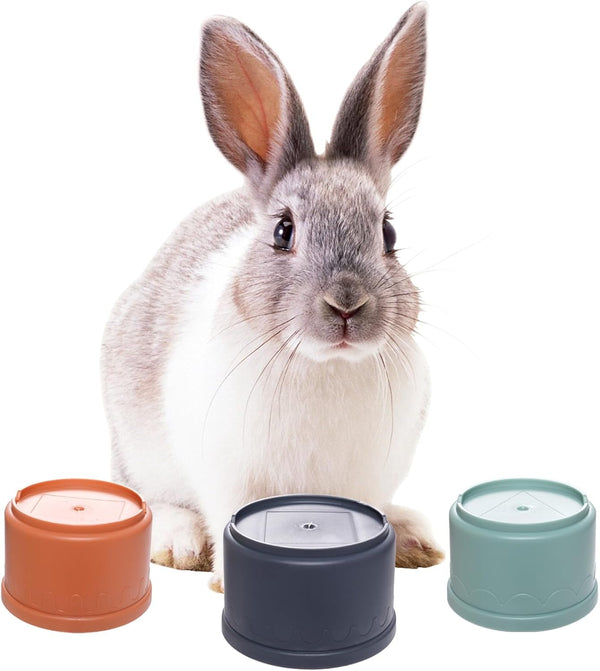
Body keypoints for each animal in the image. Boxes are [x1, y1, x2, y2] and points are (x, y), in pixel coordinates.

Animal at [101, 2, 443, 593]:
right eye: (283, 231)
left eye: (388, 233)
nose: (346, 304)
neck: (327, 364)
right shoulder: (226, 473)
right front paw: (223, 580)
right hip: (138, 451)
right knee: (147, 497)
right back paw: (178, 540)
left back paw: (414, 537)